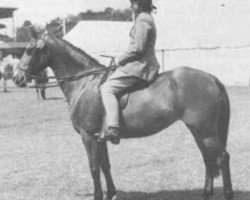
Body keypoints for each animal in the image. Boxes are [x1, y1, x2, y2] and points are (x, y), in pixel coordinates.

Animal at [12, 30, 233, 200]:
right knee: (208, 158)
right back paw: (205, 193)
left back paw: (227, 193)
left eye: (29, 50)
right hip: (199, 131)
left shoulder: (88, 136)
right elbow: (105, 166)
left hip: (204, 131)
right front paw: (111, 194)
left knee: (222, 158)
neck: (85, 83)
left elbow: (94, 168)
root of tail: (210, 78)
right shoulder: (99, 138)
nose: (16, 77)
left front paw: (98, 196)